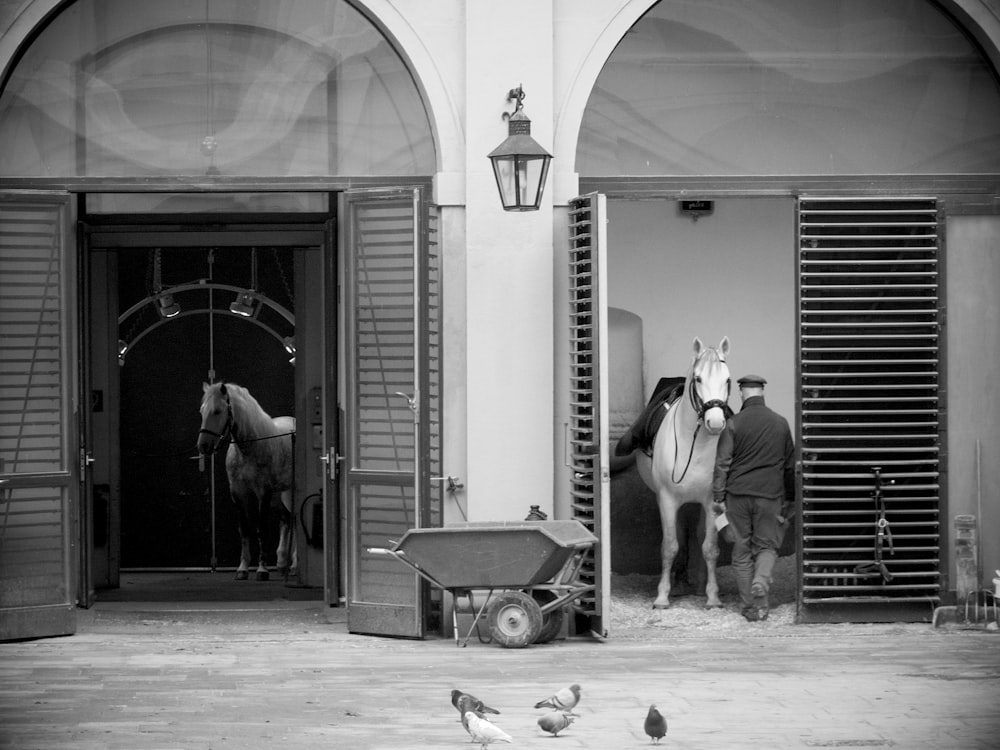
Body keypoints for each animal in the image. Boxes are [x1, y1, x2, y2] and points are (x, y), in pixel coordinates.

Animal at [636, 340, 732, 612]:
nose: (715, 422)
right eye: (698, 378)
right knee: (678, 535)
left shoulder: (711, 501)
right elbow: (670, 546)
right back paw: (678, 583)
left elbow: (709, 547)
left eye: (727, 379)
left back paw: (697, 585)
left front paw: (712, 596)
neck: (696, 443)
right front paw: (662, 596)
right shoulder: (667, 499)